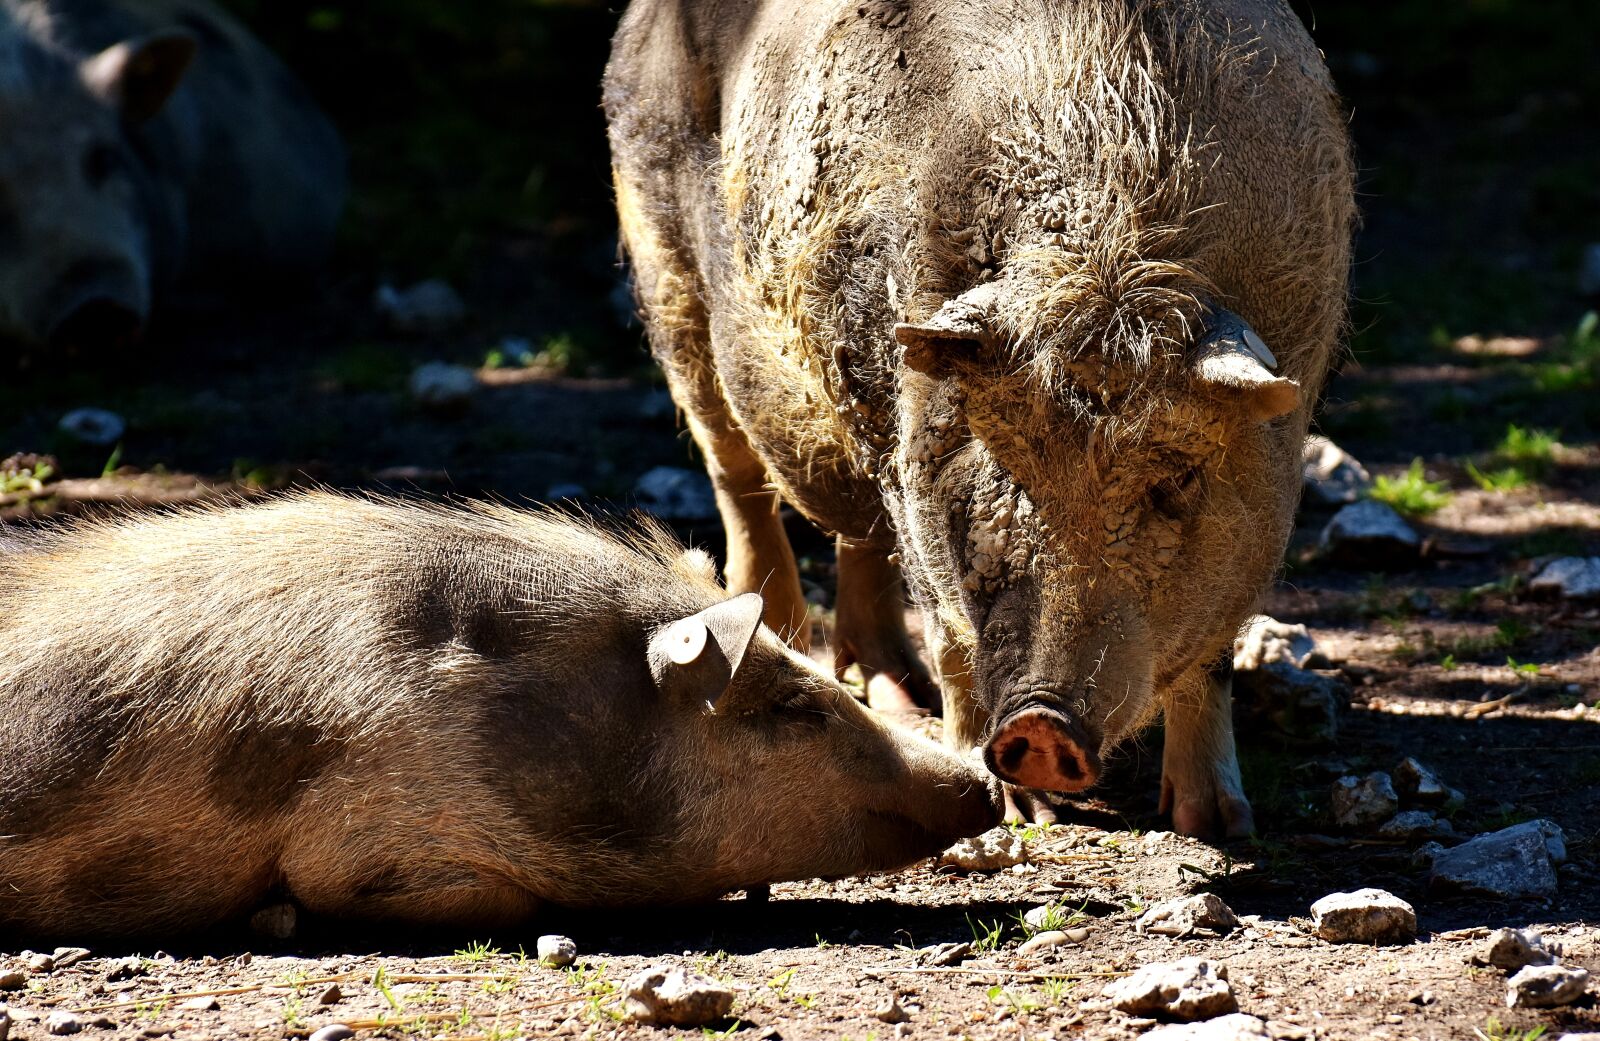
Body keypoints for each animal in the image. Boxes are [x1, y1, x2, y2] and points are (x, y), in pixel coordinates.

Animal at [605, 0, 1355, 836]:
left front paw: (1219, 826)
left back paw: (898, 695)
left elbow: (1214, 654)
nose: (1041, 723)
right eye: (1000, 460)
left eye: (1175, 482)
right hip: (669, 286)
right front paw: (1018, 816)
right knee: (738, 476)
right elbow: (949, 629)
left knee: (860, 534)